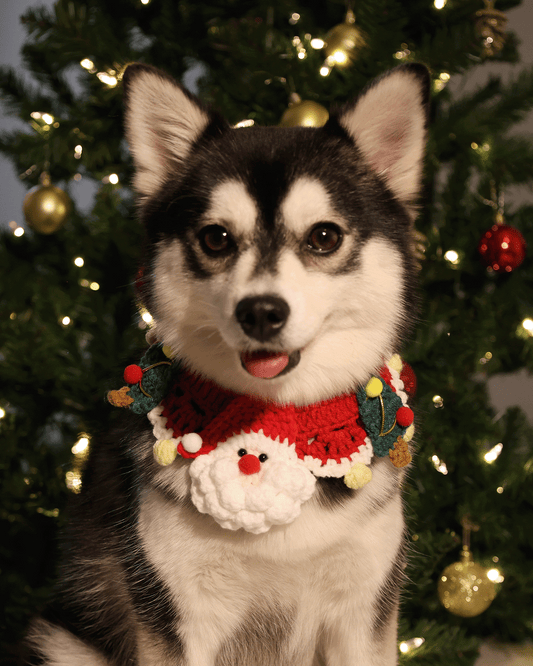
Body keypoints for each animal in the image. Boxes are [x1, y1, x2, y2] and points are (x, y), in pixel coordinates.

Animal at [27, 62, 430, 664]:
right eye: (216, 238)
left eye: (325, 236)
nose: (260, 311)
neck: (277, 419)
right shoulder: (175, 614)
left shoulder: (363, 617)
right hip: (60, 640)